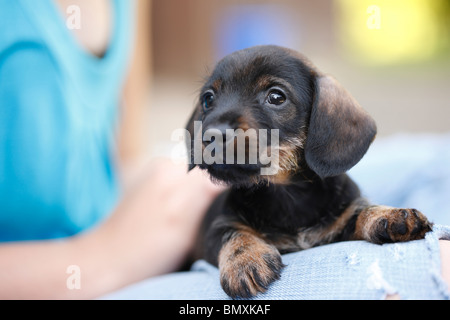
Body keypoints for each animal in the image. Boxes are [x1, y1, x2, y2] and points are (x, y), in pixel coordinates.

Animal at [184, 45, 432, 300]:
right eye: (208, 99)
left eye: (276, 97)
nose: (211, 135)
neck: (288, 194)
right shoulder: (217, 227)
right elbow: (233, 233)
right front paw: (244, 259)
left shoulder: (340, 222)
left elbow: (362, 211)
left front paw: (389, 215)